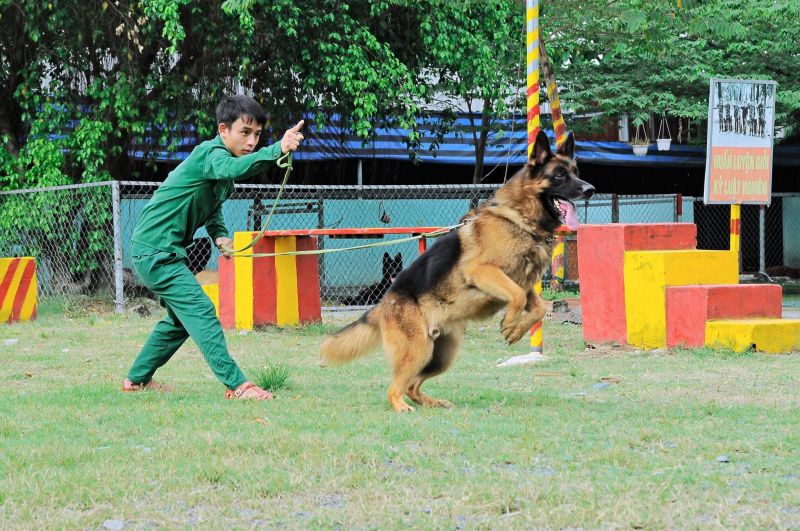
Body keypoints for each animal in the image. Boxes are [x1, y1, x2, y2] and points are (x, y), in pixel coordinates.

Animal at [320, 131, 592, 414]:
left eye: (575, 172)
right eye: (559, 175)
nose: (590, 190)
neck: (519, 219)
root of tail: (384, 302)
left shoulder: (524, 284)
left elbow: (537, 307)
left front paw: (516, 330)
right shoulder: (483, 272)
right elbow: (516, 297)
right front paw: (509, 323)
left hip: (442, 355)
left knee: (412, 385)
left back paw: (433, 402)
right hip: (418, 350)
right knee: (394, 388)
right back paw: (401, 407)